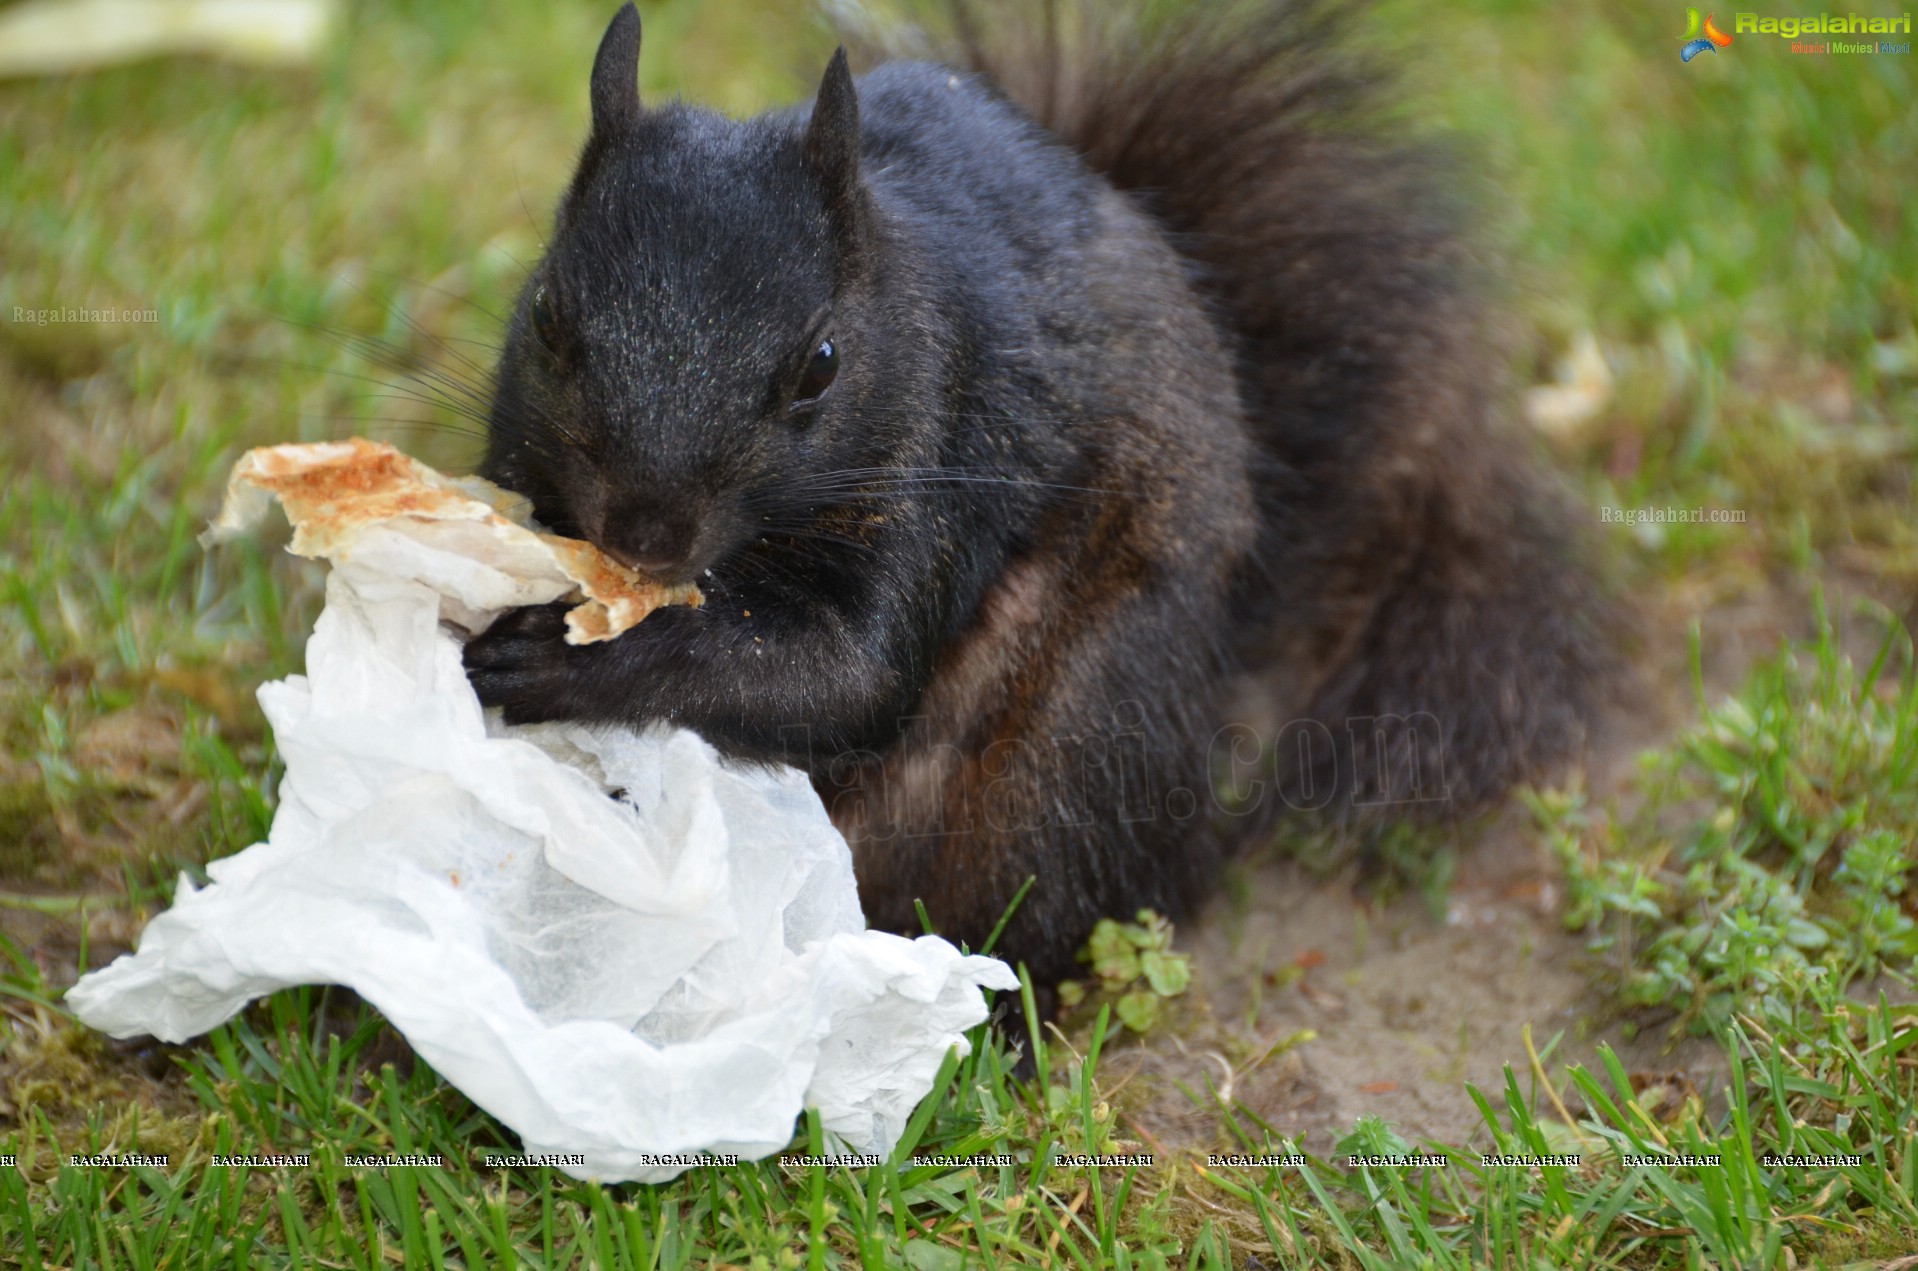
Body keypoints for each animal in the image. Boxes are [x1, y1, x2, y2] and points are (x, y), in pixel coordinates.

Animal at [464, 0, 1618, 996]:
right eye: (548, 316)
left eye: (820, 366)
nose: (644, 532)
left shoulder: (945, 451)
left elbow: (849, 677)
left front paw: (563, 657)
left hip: (1072, 747)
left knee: (1049, 896)